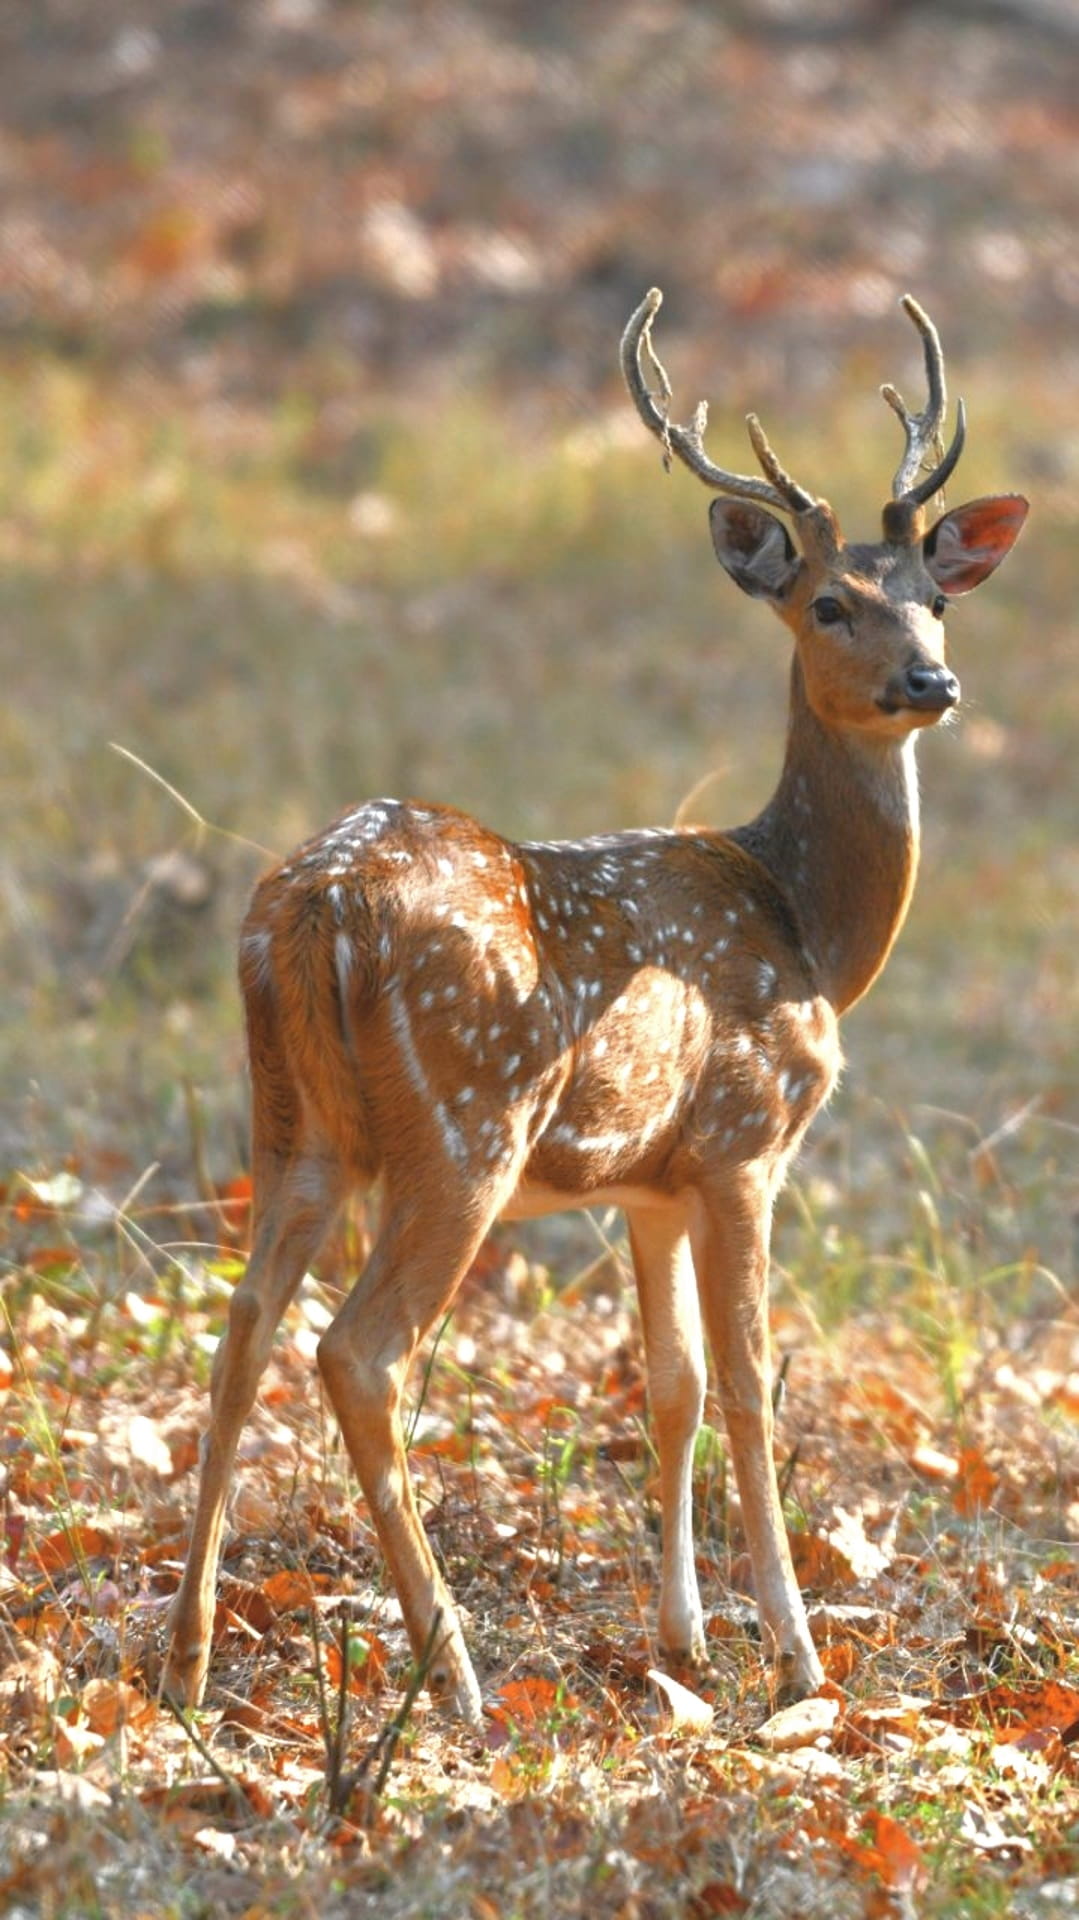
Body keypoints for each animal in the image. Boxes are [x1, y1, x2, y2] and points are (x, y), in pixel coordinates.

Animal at [164, 290, 1027, 1725]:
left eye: (929, 603)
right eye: (827, 603)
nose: (931, 685)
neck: (806, 924)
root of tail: (315, 910)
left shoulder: (648, 1181)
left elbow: (668, 1386)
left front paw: (680, 1644)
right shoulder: (741, 1144)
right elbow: (747, 1386)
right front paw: (792, 1658)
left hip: (290, 1119)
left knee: (239, 1329)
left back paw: (182, 1660)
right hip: (464, 1123)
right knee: (359, 1353)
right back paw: (452, 1673)